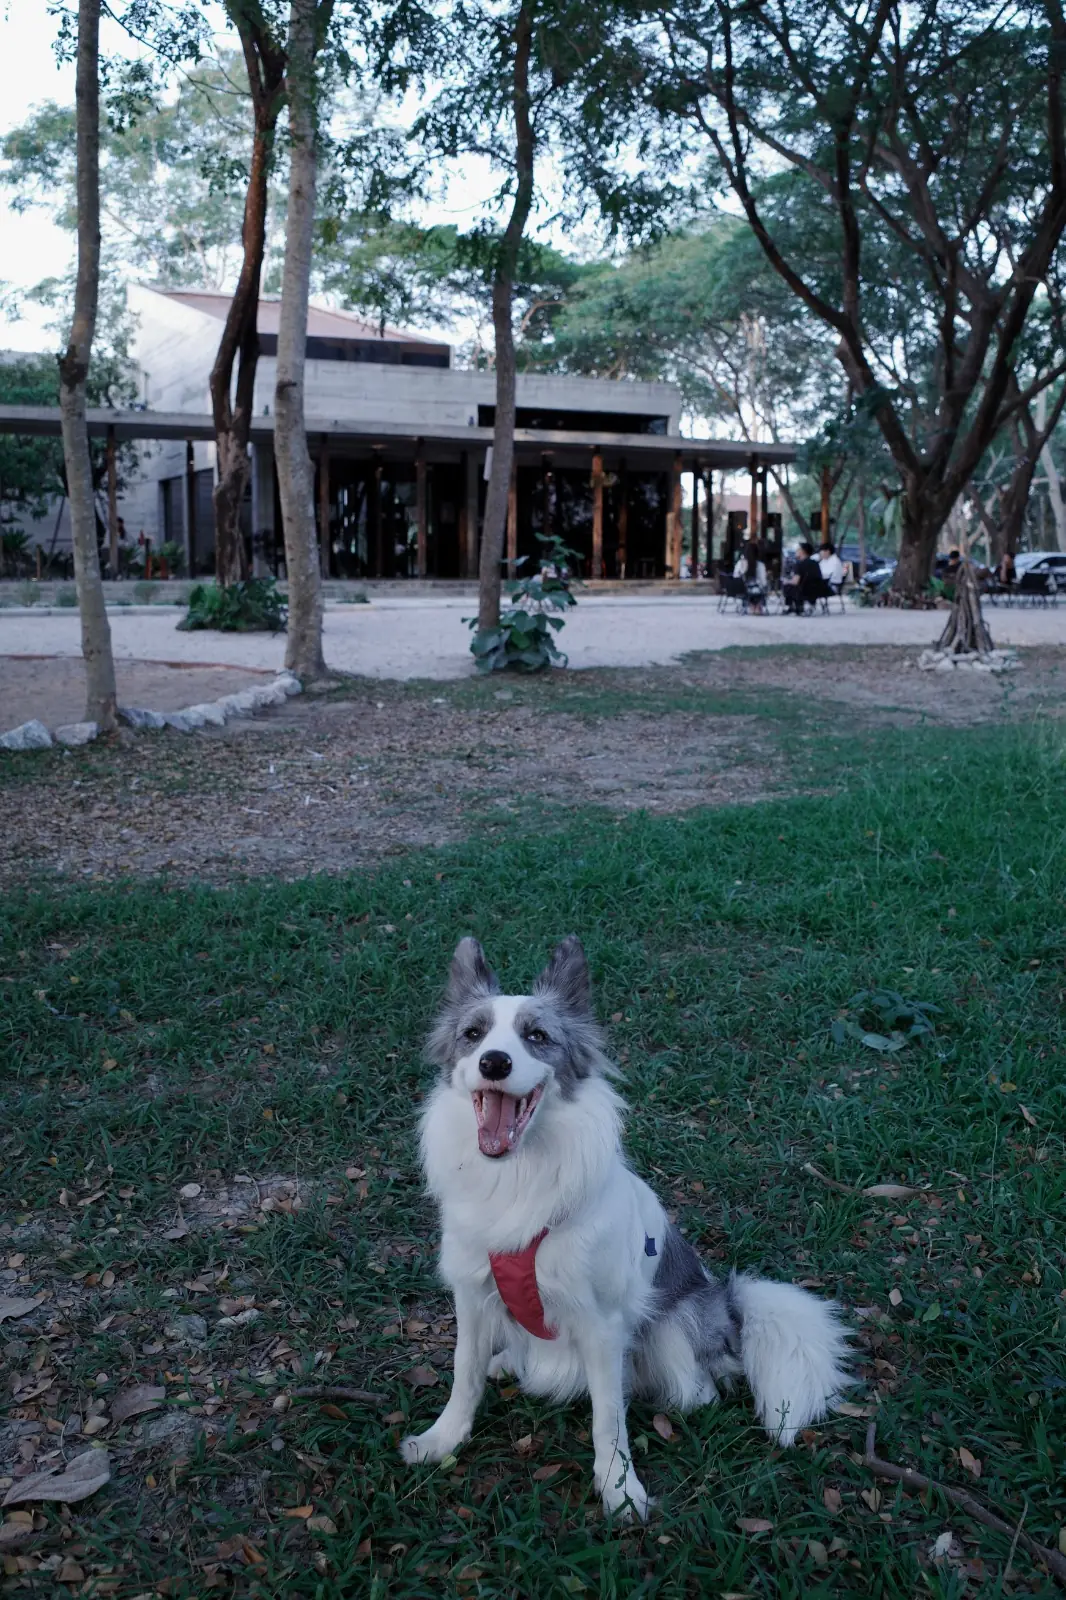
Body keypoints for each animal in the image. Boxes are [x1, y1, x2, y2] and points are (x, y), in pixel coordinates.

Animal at [400, 936, 850, 1521]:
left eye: (536, 1037)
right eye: (473, 1034)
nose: (494, 1062)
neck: (519, 1178)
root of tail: (727, 1303)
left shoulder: (602, 1323)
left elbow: (608, 1415)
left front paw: (619, 1489)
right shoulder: (473, 1297)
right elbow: (464, 1374)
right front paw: (443, 1440)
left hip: (675, 1328)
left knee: (699, 1385)